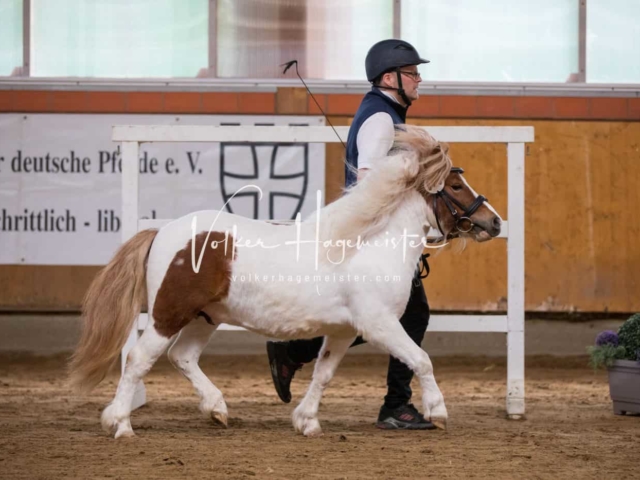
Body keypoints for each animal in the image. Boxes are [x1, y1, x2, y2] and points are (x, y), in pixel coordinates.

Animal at [69, 124, 500, 438]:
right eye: (456, 186)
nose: (494, 222)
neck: (369, 244)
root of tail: (160, 231)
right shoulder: (380, 325)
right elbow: (421, 359)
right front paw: (438, 412)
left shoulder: (344, 330)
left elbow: (323, 373)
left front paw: (306, 421)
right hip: (168, 314)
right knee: (138, 360)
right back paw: (121, 425)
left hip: (204, 317)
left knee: (183, 357)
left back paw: (217, 410)